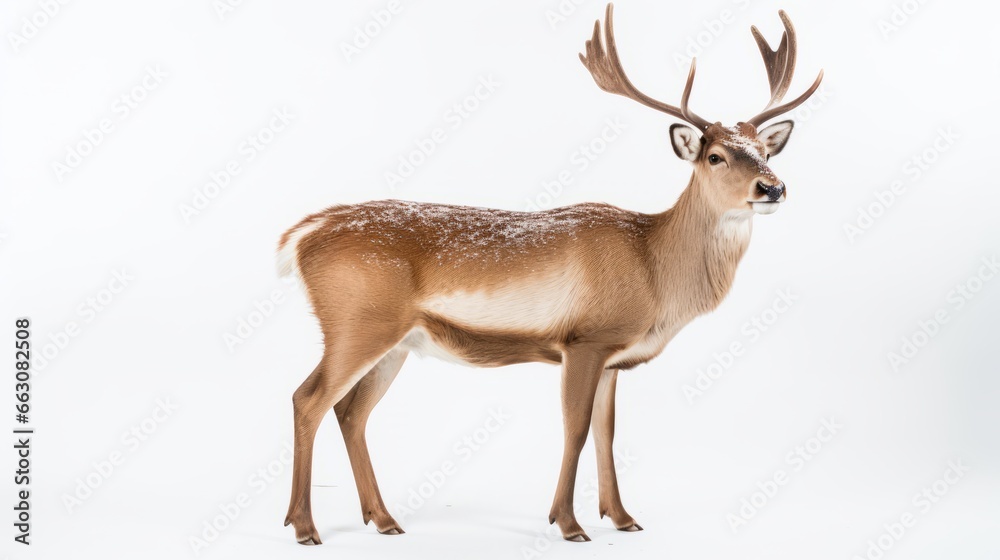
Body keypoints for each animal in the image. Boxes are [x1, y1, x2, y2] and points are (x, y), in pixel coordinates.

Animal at [278, 3, 823, 545]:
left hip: (395, 341)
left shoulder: (613, 356)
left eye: (766, 152)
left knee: (352, 412)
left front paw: (622, 517)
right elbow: (575, 429)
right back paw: (305, 526)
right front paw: (568, 523)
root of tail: (299, 237)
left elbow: (607, 432)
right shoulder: (584, 339)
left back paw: (384, 519)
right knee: (308, 398)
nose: (772, 188)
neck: (652, 268)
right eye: (715, 156)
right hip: (357, 321)